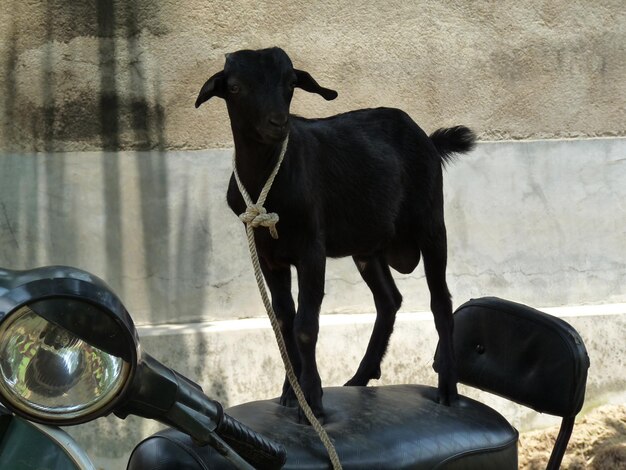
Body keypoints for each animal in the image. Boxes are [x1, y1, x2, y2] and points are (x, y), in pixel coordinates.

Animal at [195, 48, 472, 422]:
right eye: (235, 87)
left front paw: (312, 399)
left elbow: (305, 326)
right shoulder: (270, 257)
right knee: (389, 299)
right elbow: (284, 321)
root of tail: (427, 139)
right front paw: (291, 393)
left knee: (441, 301)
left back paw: (447, 389)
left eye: (291, 82)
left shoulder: (312, 249)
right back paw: (360, 377)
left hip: (430, 223)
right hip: (368, 246)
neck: (270, 183)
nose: (278, 123)